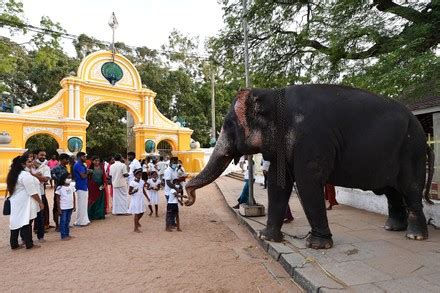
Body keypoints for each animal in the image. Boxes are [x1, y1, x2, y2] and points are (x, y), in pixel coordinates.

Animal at [185, 84, 434, 249]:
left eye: (228, 124)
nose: (187, 199)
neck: (273, 94)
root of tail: (421, 129)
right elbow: (277, 183)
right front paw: (266, 237)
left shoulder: (312, 138)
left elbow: (307, 182)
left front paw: (317, 246)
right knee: (392, 191)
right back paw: (393, 228)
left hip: (412, 149)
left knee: (410, 188)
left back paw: (415, 236)